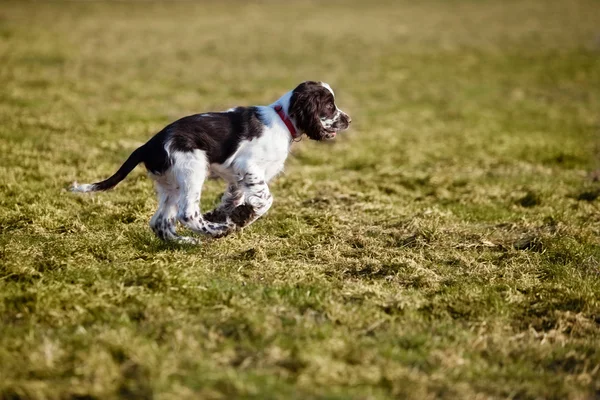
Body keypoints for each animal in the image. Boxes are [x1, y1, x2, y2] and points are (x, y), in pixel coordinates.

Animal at [70, 81, 352, 242]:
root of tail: (147, 145)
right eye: (329, 106)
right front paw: (240, 218)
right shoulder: (249, 166)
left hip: (171, 184)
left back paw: (187, 242)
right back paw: (216, 231)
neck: (282, 119)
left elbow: (234, 198)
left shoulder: (238, 178)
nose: (348, 119)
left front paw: (230, 214)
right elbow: (266, 199)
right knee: (187, 214)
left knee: (160, 222)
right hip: (192, 169)